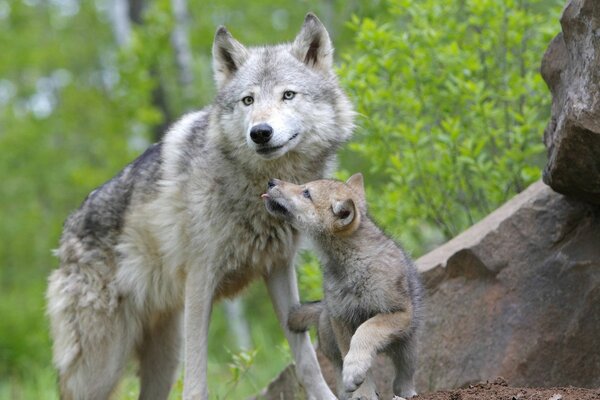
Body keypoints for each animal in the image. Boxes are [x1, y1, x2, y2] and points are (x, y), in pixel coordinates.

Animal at [49, 13, 354, 400]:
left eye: (288, 95)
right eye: (248, 100)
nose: (260, 132)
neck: (258, 188)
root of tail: (66, 235)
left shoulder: (279, 269)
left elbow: (307, 362)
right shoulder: (200, 281)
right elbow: (197, 381)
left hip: (163, 357)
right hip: (101, 366)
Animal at [262, 175, 422, 400]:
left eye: (306, 193)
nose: (271, 181)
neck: (352, 264)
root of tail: (322, 308)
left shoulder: (398, 312)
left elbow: (366, 330)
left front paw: (355, 372)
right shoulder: (342, 319)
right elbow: (350, 352)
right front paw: (362, 391)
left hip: (407, 347)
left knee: (403, 377)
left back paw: (406, 393)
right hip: (330, 338)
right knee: (338, 370)